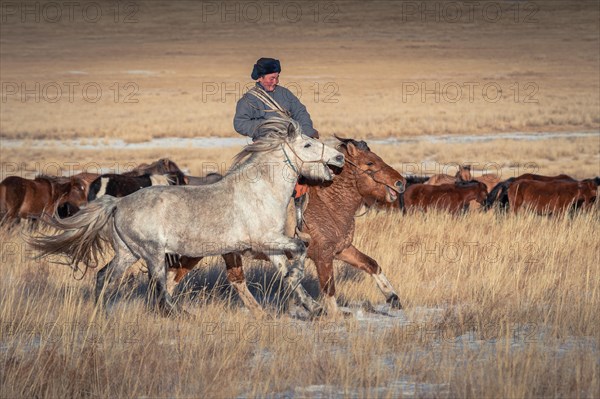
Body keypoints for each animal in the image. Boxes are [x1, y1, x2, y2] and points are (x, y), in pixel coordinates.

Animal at [29, 117, 346, 318]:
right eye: (307, 145)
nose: (339, 159)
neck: (261, 190)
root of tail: (118, 203)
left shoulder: (272, 246)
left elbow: (289, 272)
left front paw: (313, 307)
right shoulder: (265, 240)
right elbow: (300, 249)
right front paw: (309, 299)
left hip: (128, 253)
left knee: (103, 277)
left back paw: (101, 312)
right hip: (153, 254)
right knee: (159, 291)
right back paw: (181, 314)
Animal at [168, 138, 408, 316]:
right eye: (370, 164)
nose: (401, 182)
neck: (329, 204)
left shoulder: (342, 249)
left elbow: (371, 264)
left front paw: (393, 297)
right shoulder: (323, 255)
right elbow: (329, 287)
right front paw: (335, 314)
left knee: (227, 279)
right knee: (182, 274)